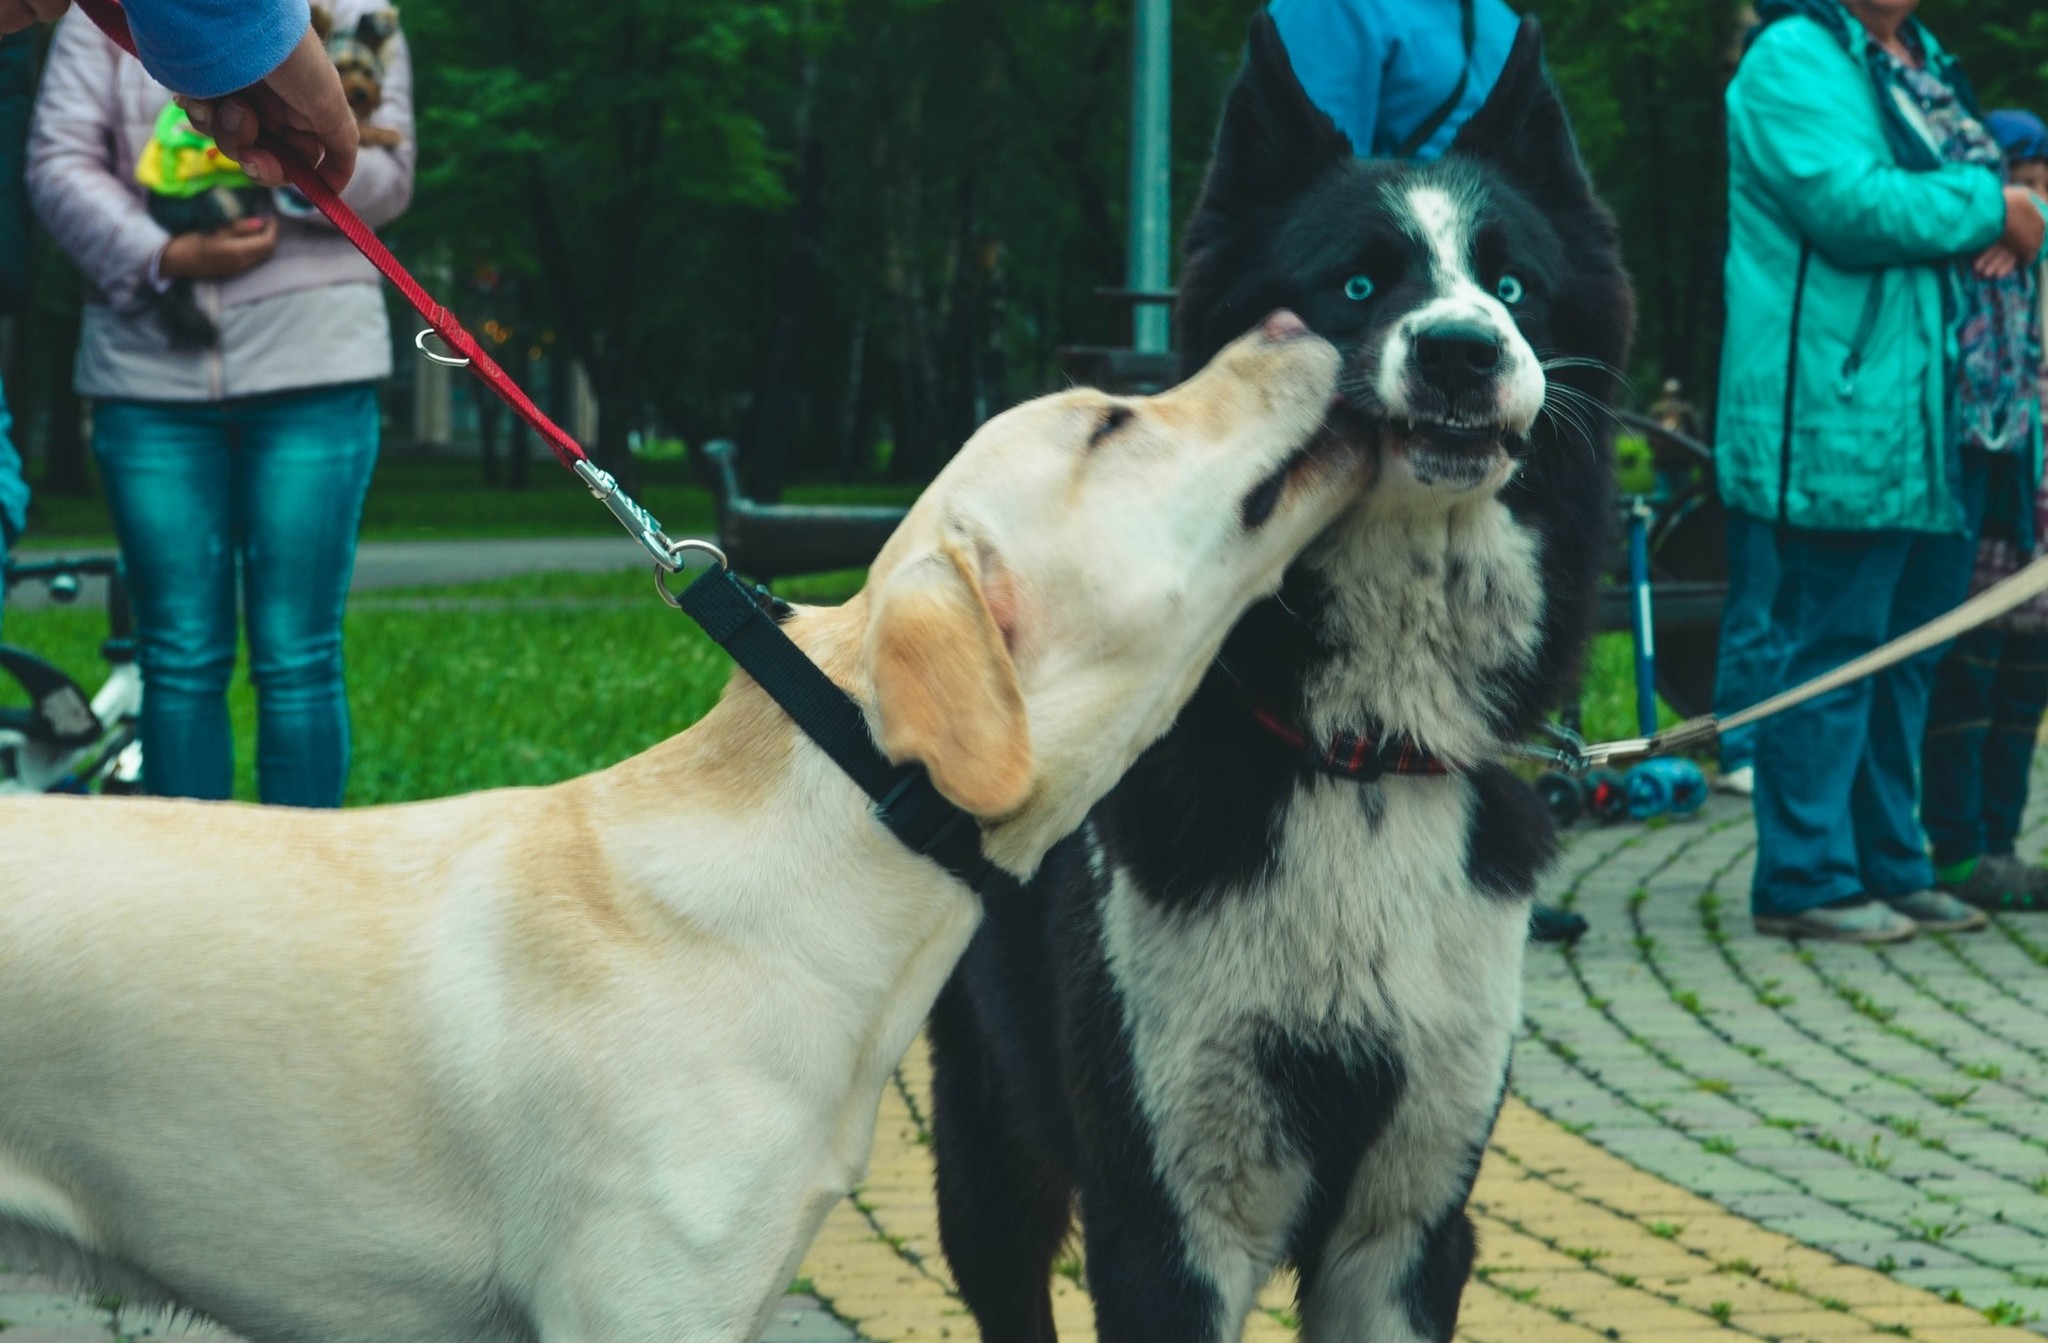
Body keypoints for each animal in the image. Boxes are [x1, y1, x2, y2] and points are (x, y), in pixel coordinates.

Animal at [933, 13, 1630, 1342]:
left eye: (1512, 285)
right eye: (1355, 285)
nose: (1463, 350)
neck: (1357, 757)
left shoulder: (1407, 1222)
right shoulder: (1170, 1220)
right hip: (985, 1148)